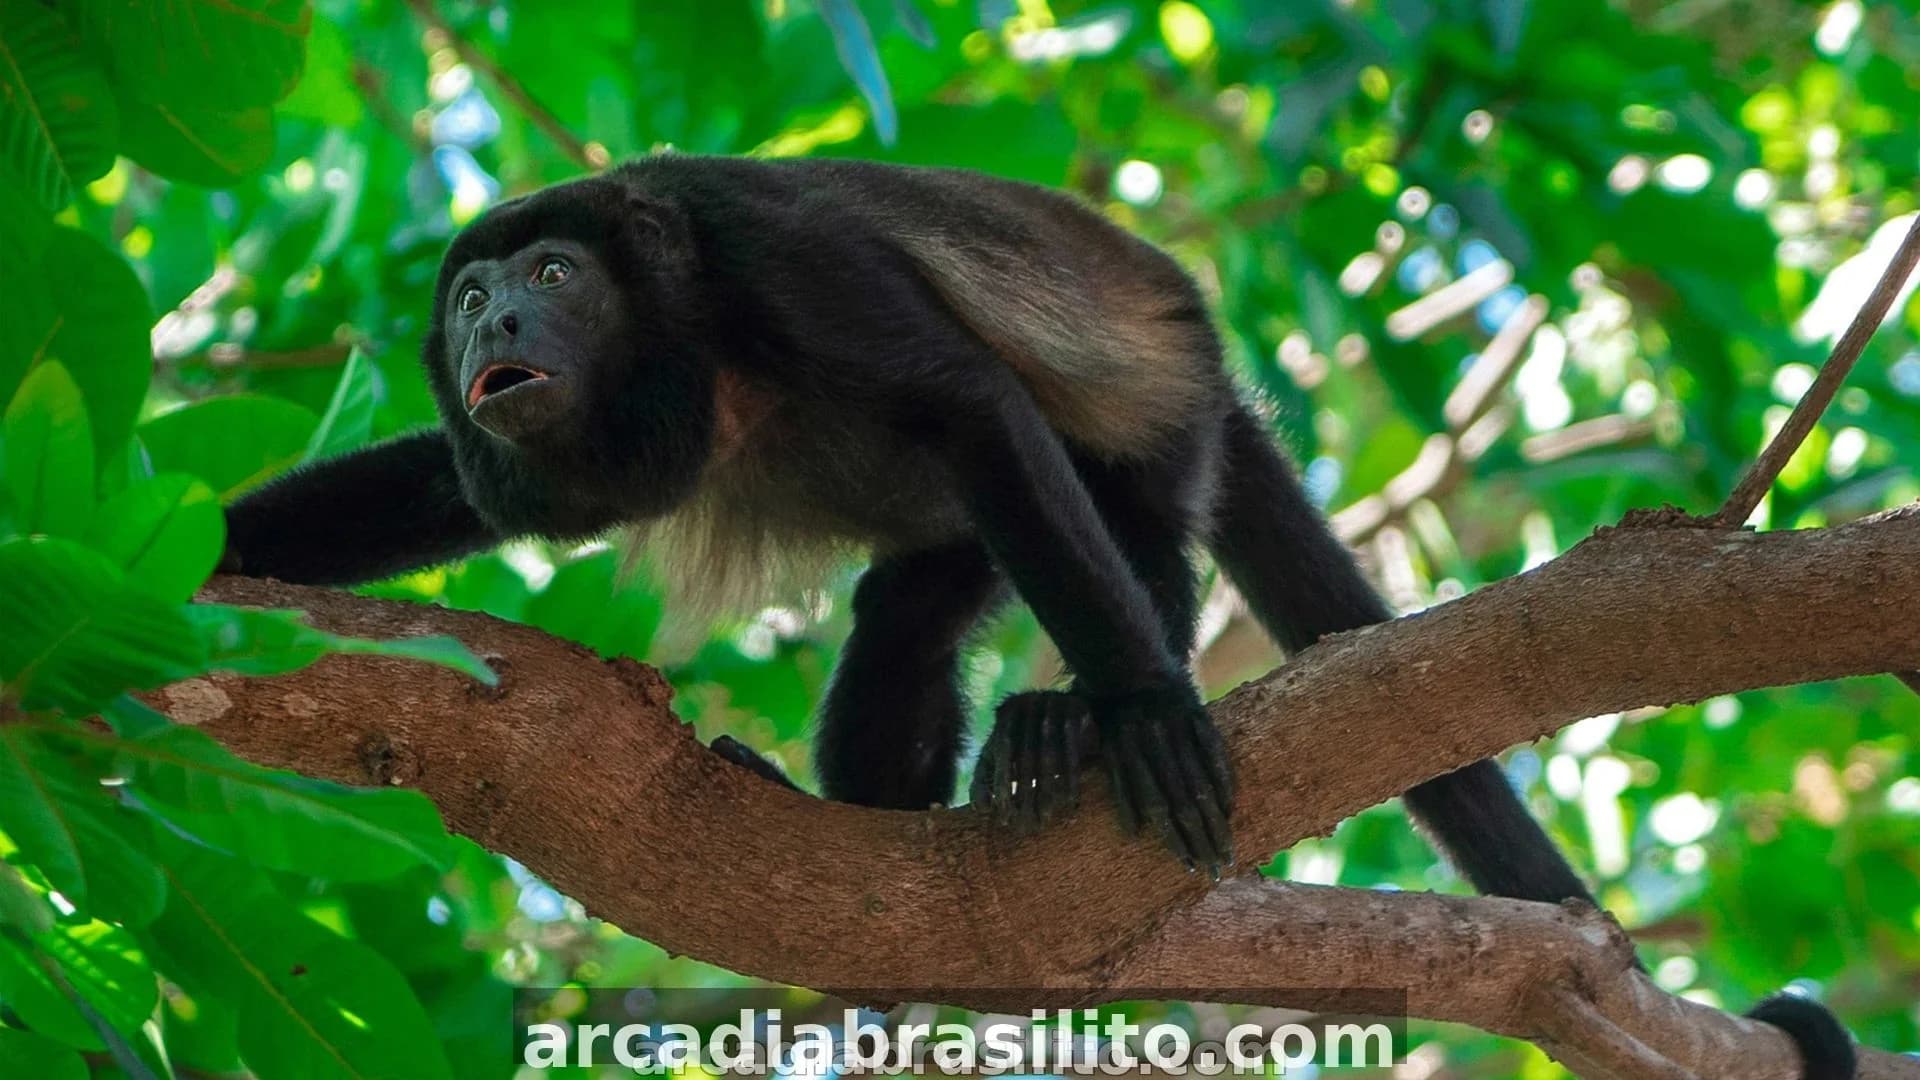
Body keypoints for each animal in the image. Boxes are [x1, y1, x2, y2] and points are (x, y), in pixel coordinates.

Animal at [221, 154, 1854, 1077]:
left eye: (554, 275)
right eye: (472, 294)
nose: (494, 321)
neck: (681, 338)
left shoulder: (777, 257)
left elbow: (961, 400)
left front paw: (1134, 705)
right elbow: (452, 488)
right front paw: (205, 555)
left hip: (1166, 415)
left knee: (1125, 531)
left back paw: (1087, 718)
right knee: (904, 614)